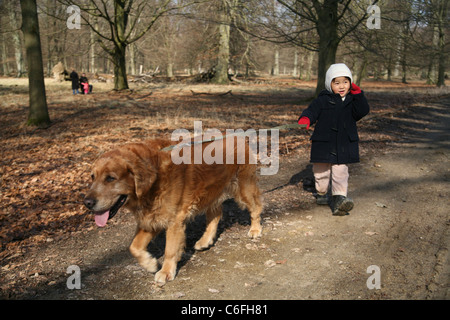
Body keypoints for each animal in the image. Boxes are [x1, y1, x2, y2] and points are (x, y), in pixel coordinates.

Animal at [83, 138, 264, 284]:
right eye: (92, 177)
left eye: (110, 178)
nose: (87, 203)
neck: (155, 174)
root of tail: (238, 136)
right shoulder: (151, 219)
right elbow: (134, 247)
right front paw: (150, 263)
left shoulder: (174, 221)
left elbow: (170, 250)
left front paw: (165, 271)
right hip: (211, 192)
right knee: (216, 214)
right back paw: (205, 240)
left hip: (244, 188)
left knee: (256, 207)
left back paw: (255, 229)